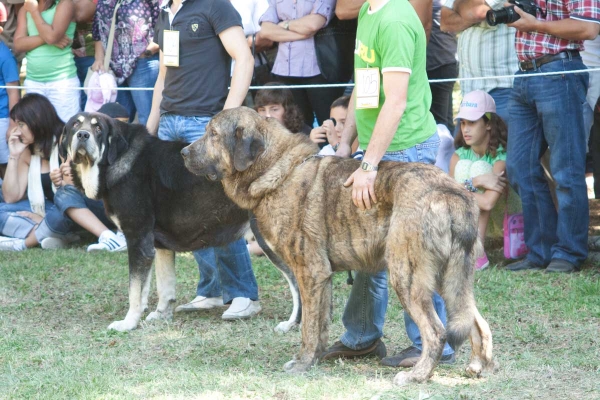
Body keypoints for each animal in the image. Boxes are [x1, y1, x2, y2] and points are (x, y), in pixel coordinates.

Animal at [62, 111, 300, 332]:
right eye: (75, 125)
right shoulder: (157, 245)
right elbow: (161, 286)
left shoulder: (137, 238)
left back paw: (292, 323)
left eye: (98, 128)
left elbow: (134, 290)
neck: (118, 157)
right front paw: (160, 315)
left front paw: (128, 323)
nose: (83, 135)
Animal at [180, 105, 494, 384]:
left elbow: (308, 327)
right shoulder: (321, 278)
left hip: (407, 276)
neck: (279, 170)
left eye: (213, 134)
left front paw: (302, 364)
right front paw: (315, 359)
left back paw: (417, 375)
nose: (183, 152)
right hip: (450, 277)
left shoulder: (310, 273)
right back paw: (479, 366)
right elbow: (319, 326)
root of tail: (451, 192)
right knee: (475, 321)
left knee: (436, 331)